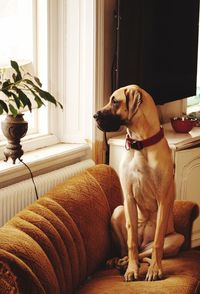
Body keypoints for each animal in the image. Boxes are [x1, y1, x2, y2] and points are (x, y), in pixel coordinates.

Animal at [94, 84, 184, 280]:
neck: (140, 143)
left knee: (147, 251)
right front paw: (132, 269)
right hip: (118, 211)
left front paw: (155, 269)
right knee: (130, 249)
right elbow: (131, 241)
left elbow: (157, 242)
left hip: (176, 238)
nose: (95, 116)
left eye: (115, 101)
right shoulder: (128, 198)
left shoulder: (164, 200)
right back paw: (120, 261)